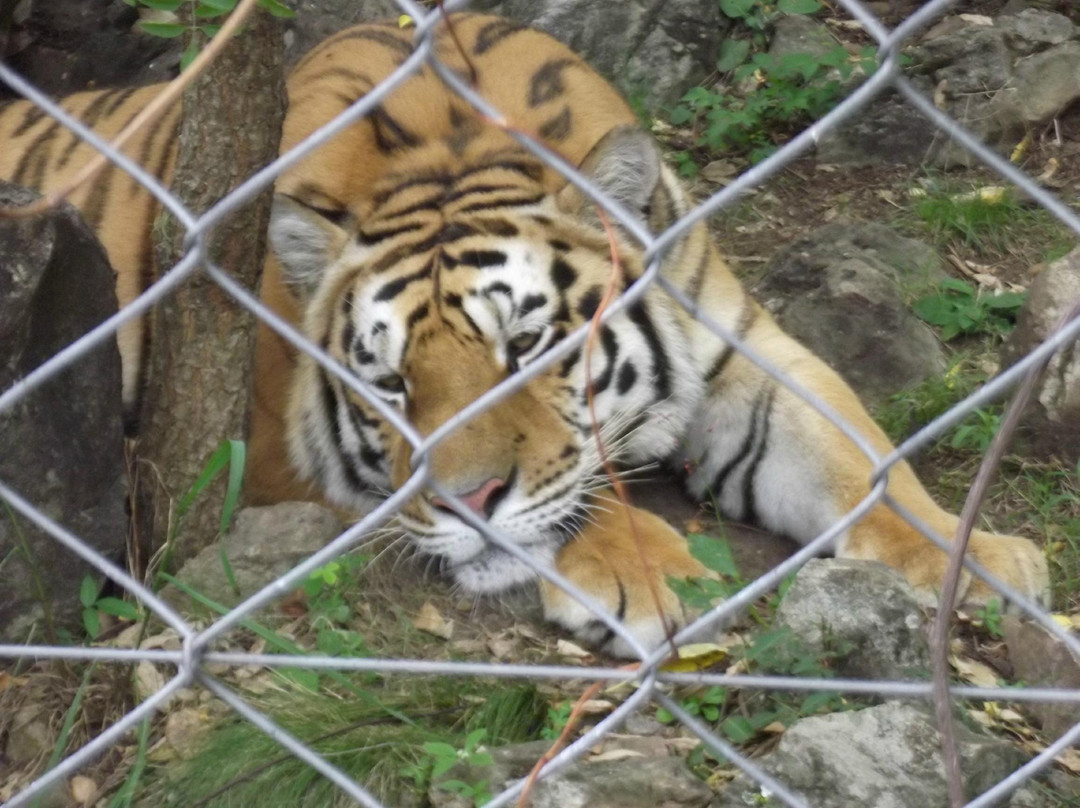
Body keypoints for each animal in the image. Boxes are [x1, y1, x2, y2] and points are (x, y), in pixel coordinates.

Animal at [0, 14, 1045, 656]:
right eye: (390, 386)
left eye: (530, 347)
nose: (468, 504)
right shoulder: (268, 457)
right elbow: (585, 491)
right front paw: (648, 573)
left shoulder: (742, 352)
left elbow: (857, 453)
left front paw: (979, 559)